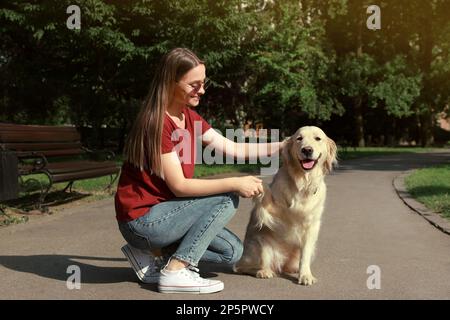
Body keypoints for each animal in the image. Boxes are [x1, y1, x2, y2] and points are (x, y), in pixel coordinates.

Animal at [234, 125, 336, 284]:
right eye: (299, 138)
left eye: (318, 138)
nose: (307, 150)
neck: (303, 182)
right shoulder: (272, 211)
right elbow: (266, 198)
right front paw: (257, 186)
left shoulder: (312, 225)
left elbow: (305, 254)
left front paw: (305, 275)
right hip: (260, 244)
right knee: (242, 267)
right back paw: (264, 271)